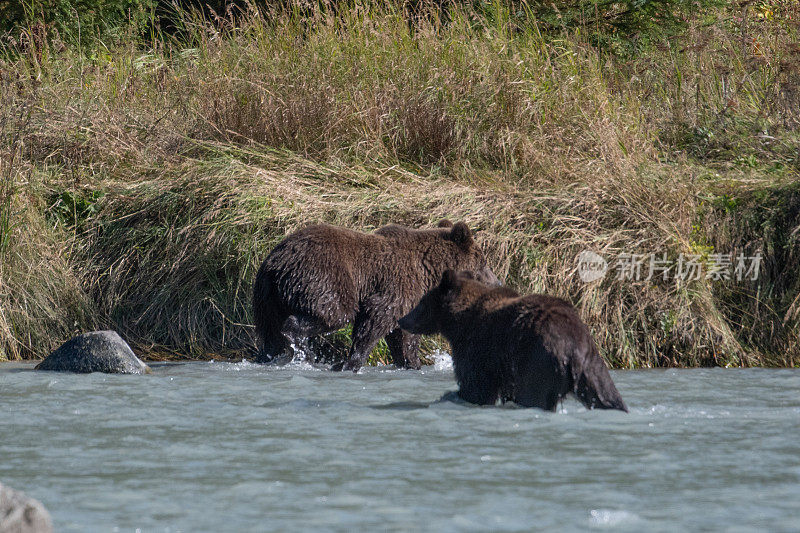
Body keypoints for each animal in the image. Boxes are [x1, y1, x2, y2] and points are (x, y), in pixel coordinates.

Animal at [253, 220, 496, 370]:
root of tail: (275, 260)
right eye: (484, 262)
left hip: (267, 296)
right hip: (323, 276)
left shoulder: (409, 301)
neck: (429, 271)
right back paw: (305, 351)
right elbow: (375, 319)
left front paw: (411, 362)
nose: (497, 282)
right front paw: (350, 362)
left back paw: (268, 356)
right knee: (335, 312)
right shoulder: (396, 287)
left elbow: (404, 335)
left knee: (269, 330)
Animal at [396, 270, 628, 412]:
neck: (458, 322)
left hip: (537, 360)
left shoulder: (478, 348)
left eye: (422, 302)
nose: (402, 319)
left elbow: (476, 388)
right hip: (592, 364)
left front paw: (451, 395)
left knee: (531, 395)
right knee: (605, 394)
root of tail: (572, 347)